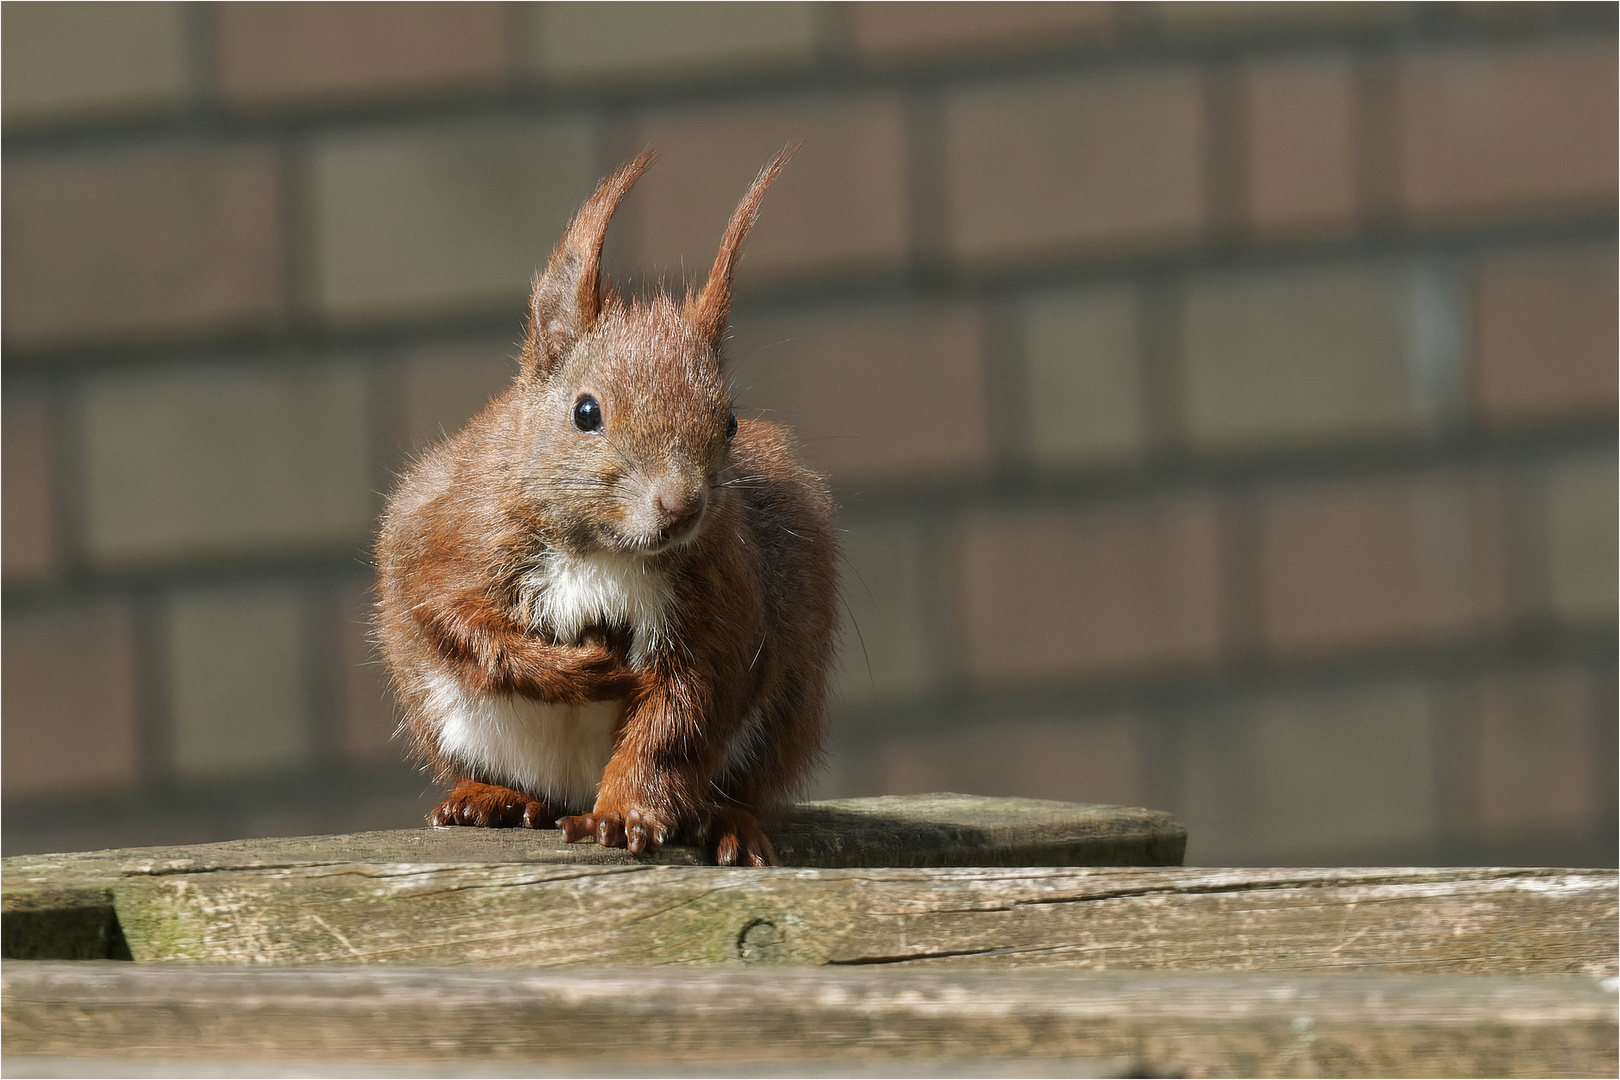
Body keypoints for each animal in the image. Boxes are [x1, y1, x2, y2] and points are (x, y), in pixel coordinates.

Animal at [374, 145, 842, 867]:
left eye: (730, 423)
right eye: (585, 412)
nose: (681, 507)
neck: (604, 551)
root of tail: (566, 786)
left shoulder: (719, 603)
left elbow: (677, 715)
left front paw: (625, 814)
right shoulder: (455, 533)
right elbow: (456, 619)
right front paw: (577, 671)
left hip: (782, 707)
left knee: (731, 782)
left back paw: (724, 821)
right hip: (438, 709)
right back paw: (493, 797)